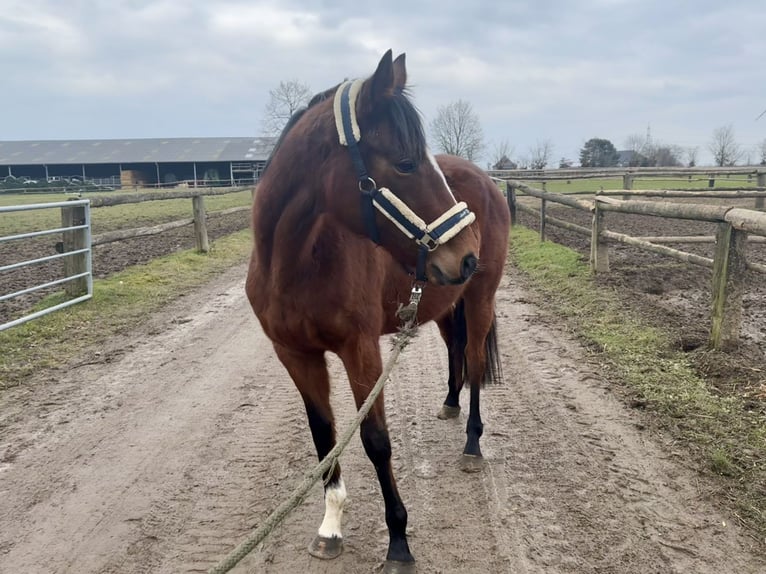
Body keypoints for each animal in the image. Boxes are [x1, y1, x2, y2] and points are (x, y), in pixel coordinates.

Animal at [246, 51, 510, 572]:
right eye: (406, 163)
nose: (467, 254)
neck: (296, 264)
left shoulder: (360, 351)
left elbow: (375, 441)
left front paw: (399, 542)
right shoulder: (295, 356)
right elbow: (324, 436)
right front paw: (330, 527)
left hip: (479, 299)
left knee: (472, 361)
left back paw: (472, 442)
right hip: (446, 304)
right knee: (454, 352)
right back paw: (450, 404)